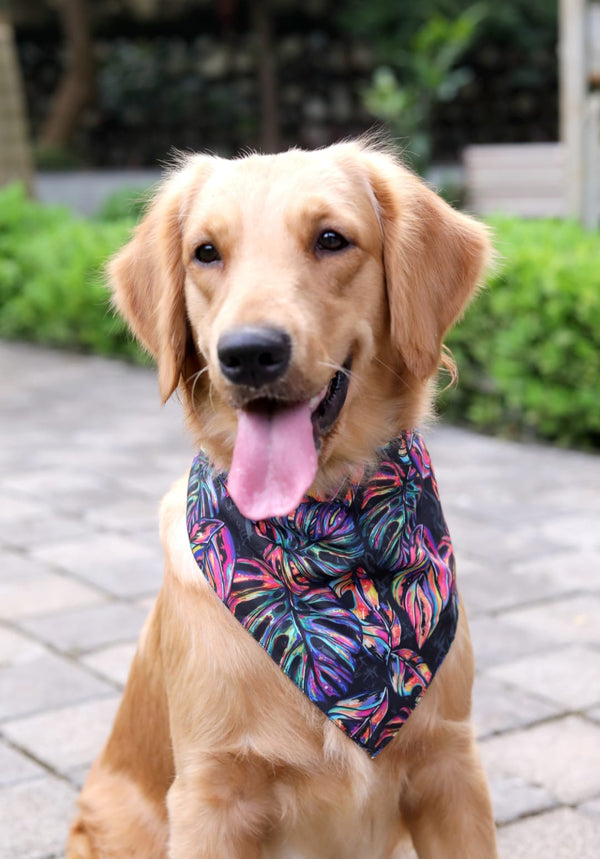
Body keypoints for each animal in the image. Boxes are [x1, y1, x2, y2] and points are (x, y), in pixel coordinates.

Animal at [67, 138, 496, 856]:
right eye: (206, 252)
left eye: (331, 239)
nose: (249, 353)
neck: (326, 536)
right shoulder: (208, 797)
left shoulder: (451, 768)